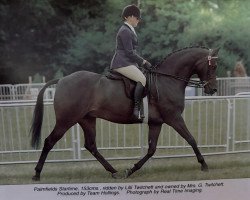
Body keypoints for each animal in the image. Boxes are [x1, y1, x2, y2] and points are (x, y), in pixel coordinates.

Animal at [30, 46, 220, 180]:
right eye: (213, 66)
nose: (213, 89)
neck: (167, 80)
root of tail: (62, 80)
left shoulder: (156, 123)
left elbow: (151, 149)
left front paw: (131, 170)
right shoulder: (174, 118)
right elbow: (191, 139)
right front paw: (204, 165)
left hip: (87, 119)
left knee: (91, 145)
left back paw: (114, 171)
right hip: (66, 120)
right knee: (49, 141)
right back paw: (37, 174)